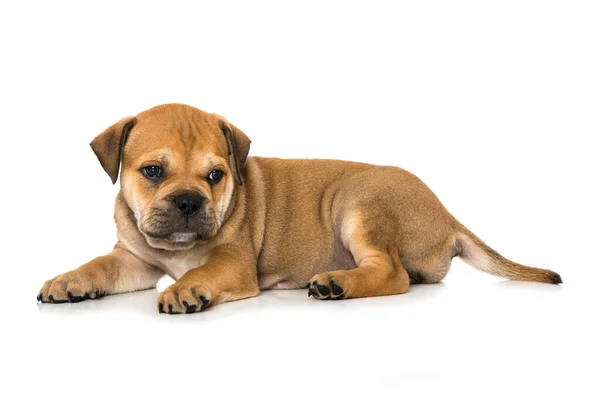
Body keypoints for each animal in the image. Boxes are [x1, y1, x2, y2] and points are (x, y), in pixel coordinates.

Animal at [37, 102, 564, 312]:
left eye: (215, 175)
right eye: (152, 172)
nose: (188, 202)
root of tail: (447, 213)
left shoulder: (232, 261)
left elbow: (200, 272)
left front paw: (187, 289)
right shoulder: (133, 258)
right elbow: (99, 264)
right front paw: (69, 280)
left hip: (359, 204)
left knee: (392, 273)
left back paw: (337, 283)